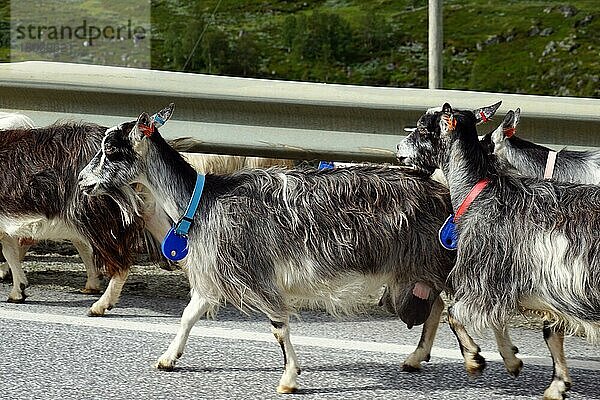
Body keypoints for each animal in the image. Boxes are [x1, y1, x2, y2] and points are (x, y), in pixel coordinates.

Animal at [76, 109, 460, 394]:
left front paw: (289, 378)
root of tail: (441, 192)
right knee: (437, 306)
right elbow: (189, 313)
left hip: (433, 258)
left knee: (450, 306)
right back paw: (417, 357)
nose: (81, 180)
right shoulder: (215, 274)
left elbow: (277, 325)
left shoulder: (255, 272)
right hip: (417, 267)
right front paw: (168, 358)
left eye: (111, 150)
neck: (203, 201)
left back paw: (465, 356)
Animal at [398, 102, 600, 400]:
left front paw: (474, 359)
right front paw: (555, 383)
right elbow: (548, 330)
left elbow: (454, 314)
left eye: (424, 128)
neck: (479, 191)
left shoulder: (487, 276)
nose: (398, 148)